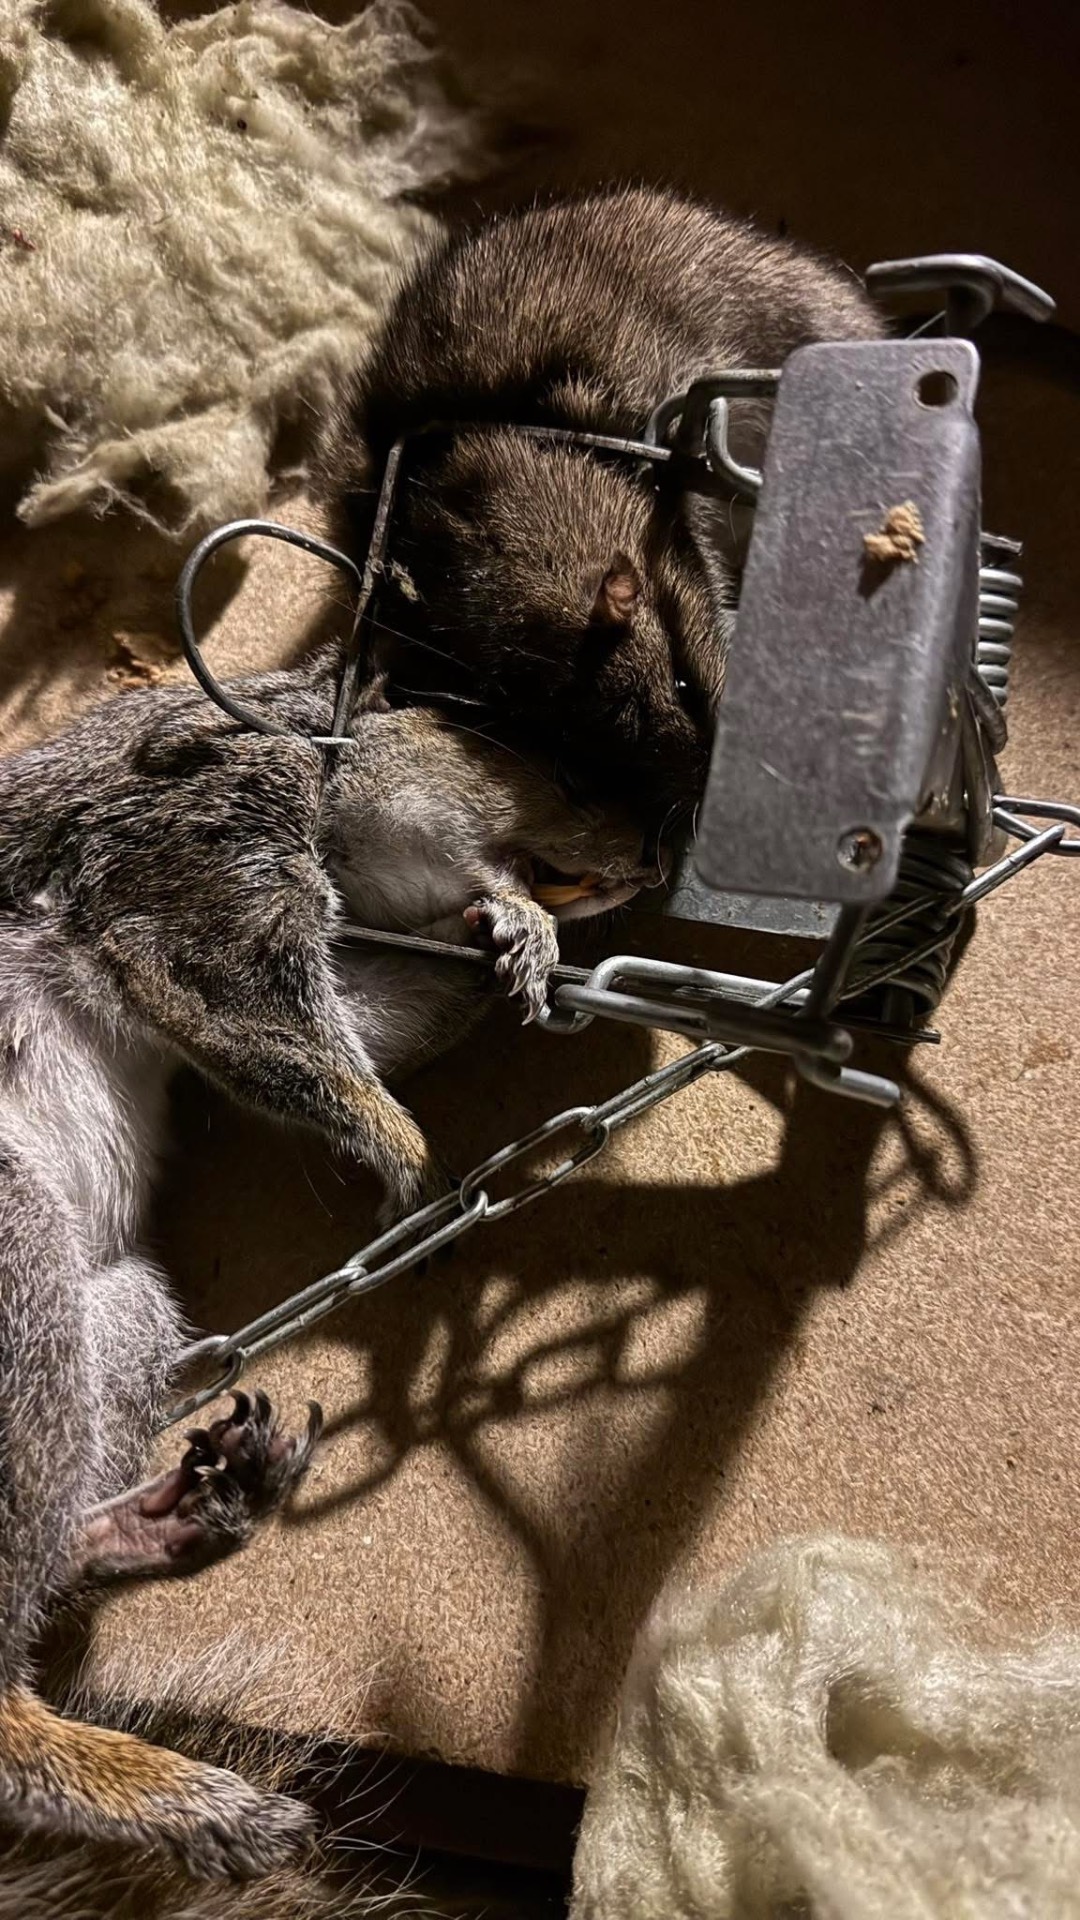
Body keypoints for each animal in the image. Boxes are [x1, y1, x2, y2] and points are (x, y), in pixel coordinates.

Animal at [0, 647, 647, 1878]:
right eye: (537, 760)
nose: (643, 865)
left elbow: (369, 1014)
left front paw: (516, 930)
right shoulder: (195, 838)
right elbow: (250, 1011)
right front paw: (406, 1156)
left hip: (116, 1313)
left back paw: (176, 1515)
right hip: (16, 1266)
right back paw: (148, 1781)